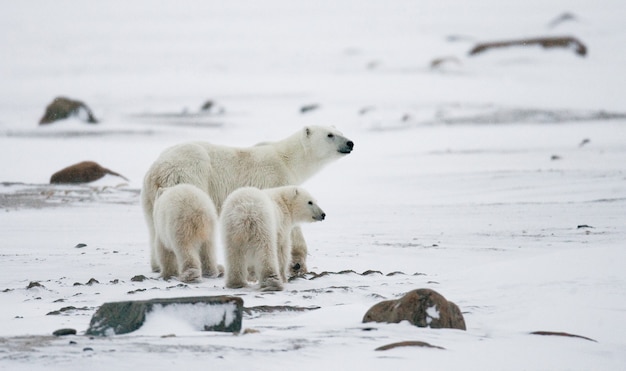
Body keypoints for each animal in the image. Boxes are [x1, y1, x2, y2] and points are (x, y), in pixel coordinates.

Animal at [141, 125, 352, 276]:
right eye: (330, 135)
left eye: (340, 132)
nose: (350, 143)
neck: (287, 160)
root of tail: (160, 170)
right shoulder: (276, 179)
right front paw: (297, 264)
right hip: (191, 176)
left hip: (150, 195)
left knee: (153, 227)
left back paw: (158, 265)